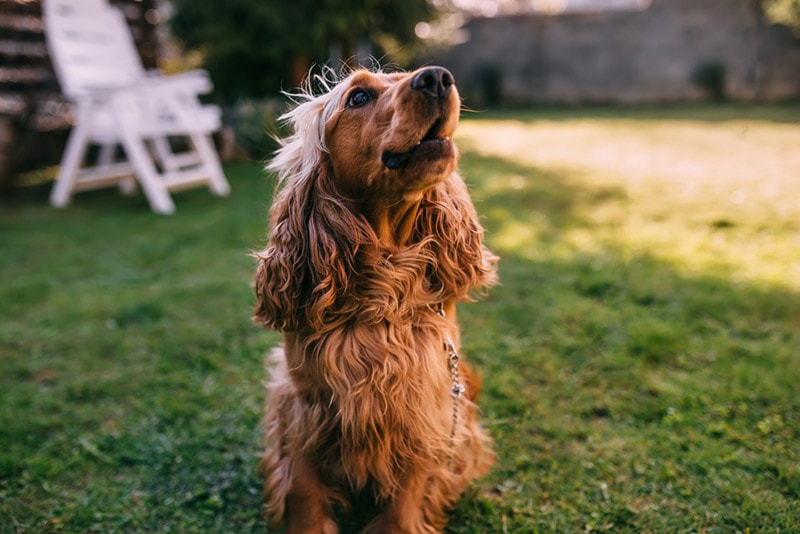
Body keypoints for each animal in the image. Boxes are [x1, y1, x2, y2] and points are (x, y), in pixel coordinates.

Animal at [253, 67, 496, 534]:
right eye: (359, 97)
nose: (437, 78)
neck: (385, 290)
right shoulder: (302, 408)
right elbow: (304, 493)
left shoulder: (425, 409)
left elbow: (405, 504)